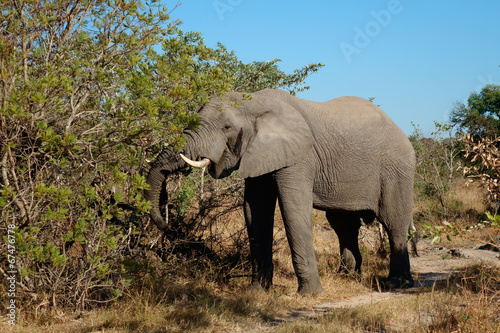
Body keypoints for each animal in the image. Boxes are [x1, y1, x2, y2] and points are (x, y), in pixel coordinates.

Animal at [146, 88, 418, 294]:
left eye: (226, 127)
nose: (164, 225)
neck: (253, 102)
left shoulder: (299, 156)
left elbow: (293, 210)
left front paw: (311, 294)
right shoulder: (257, 153)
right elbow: (255, 212)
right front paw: (256, 292)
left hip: (397, 170)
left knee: (393, 223)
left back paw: (397, 284)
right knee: (343, 225)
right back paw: (348, 277)